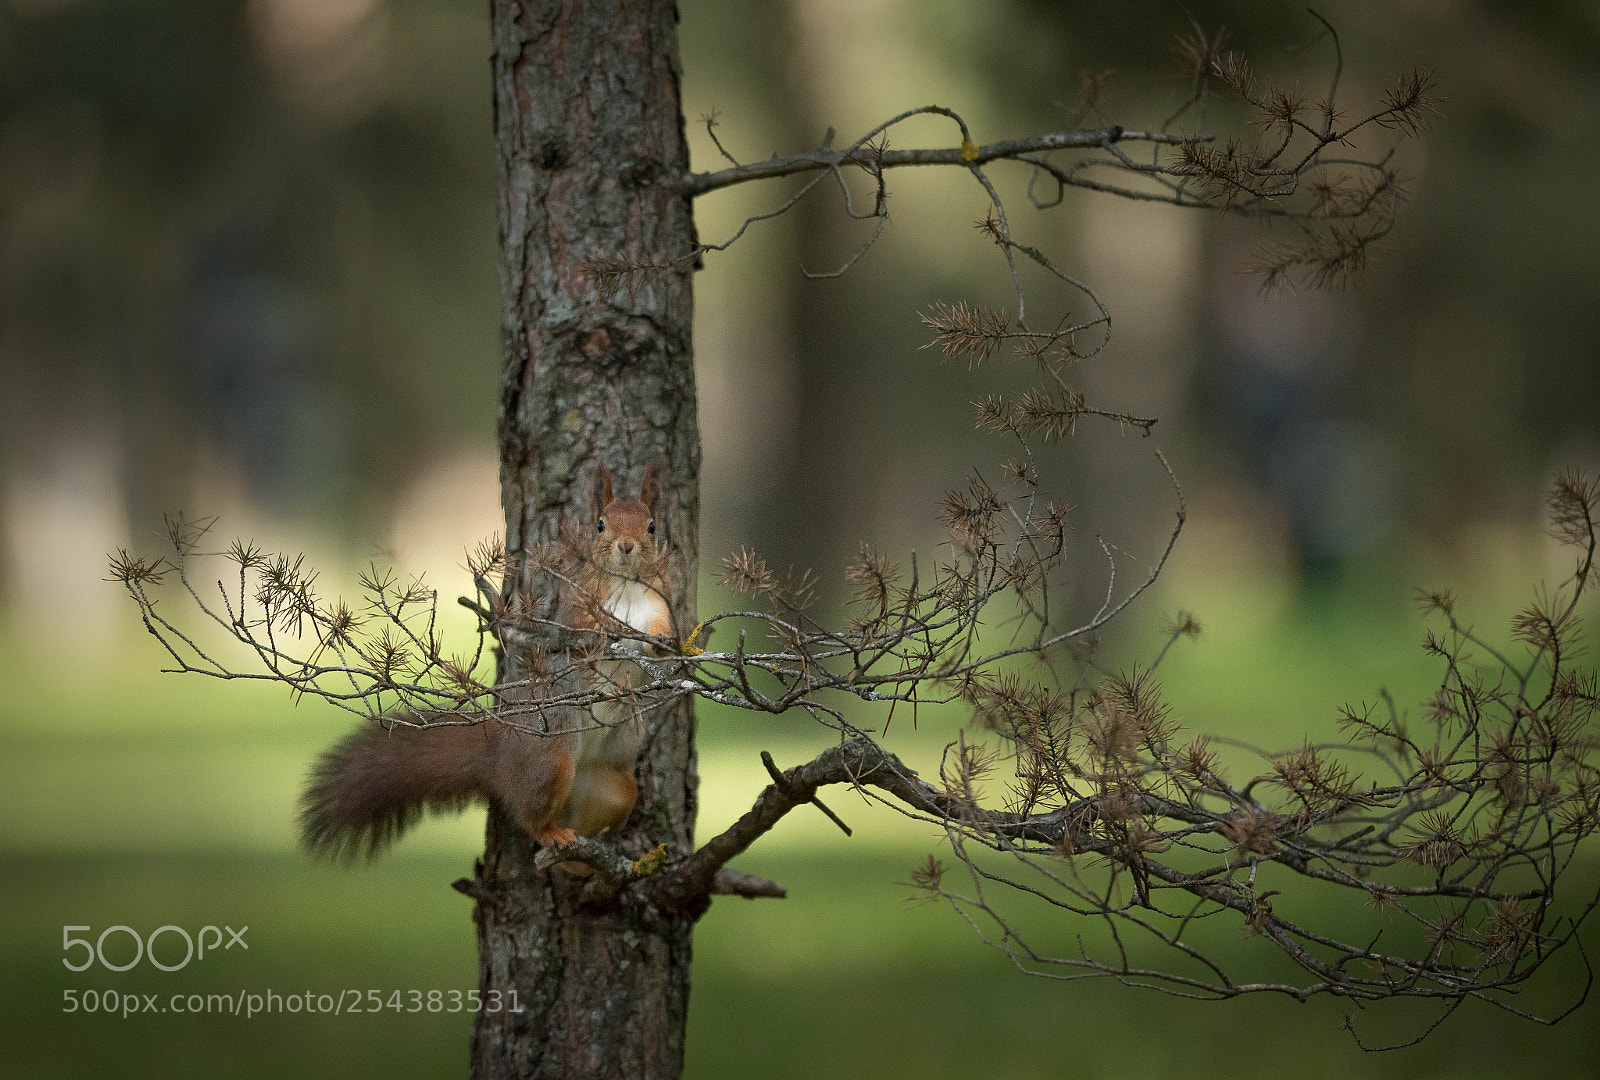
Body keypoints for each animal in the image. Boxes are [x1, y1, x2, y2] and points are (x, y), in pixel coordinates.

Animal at [299, 462, 673, 862]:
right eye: (601, 524)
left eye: (652, 526)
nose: (626, 545)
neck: (627, 587)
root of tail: (499, 759)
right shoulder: (575, 608)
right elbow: (582, 629)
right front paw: (610, 627)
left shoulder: (658, 604)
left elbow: (665, 631)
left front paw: (664, 642)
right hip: (549, 764)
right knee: (531, 817)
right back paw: (555, 836)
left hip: (615, 788)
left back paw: (586, 859)